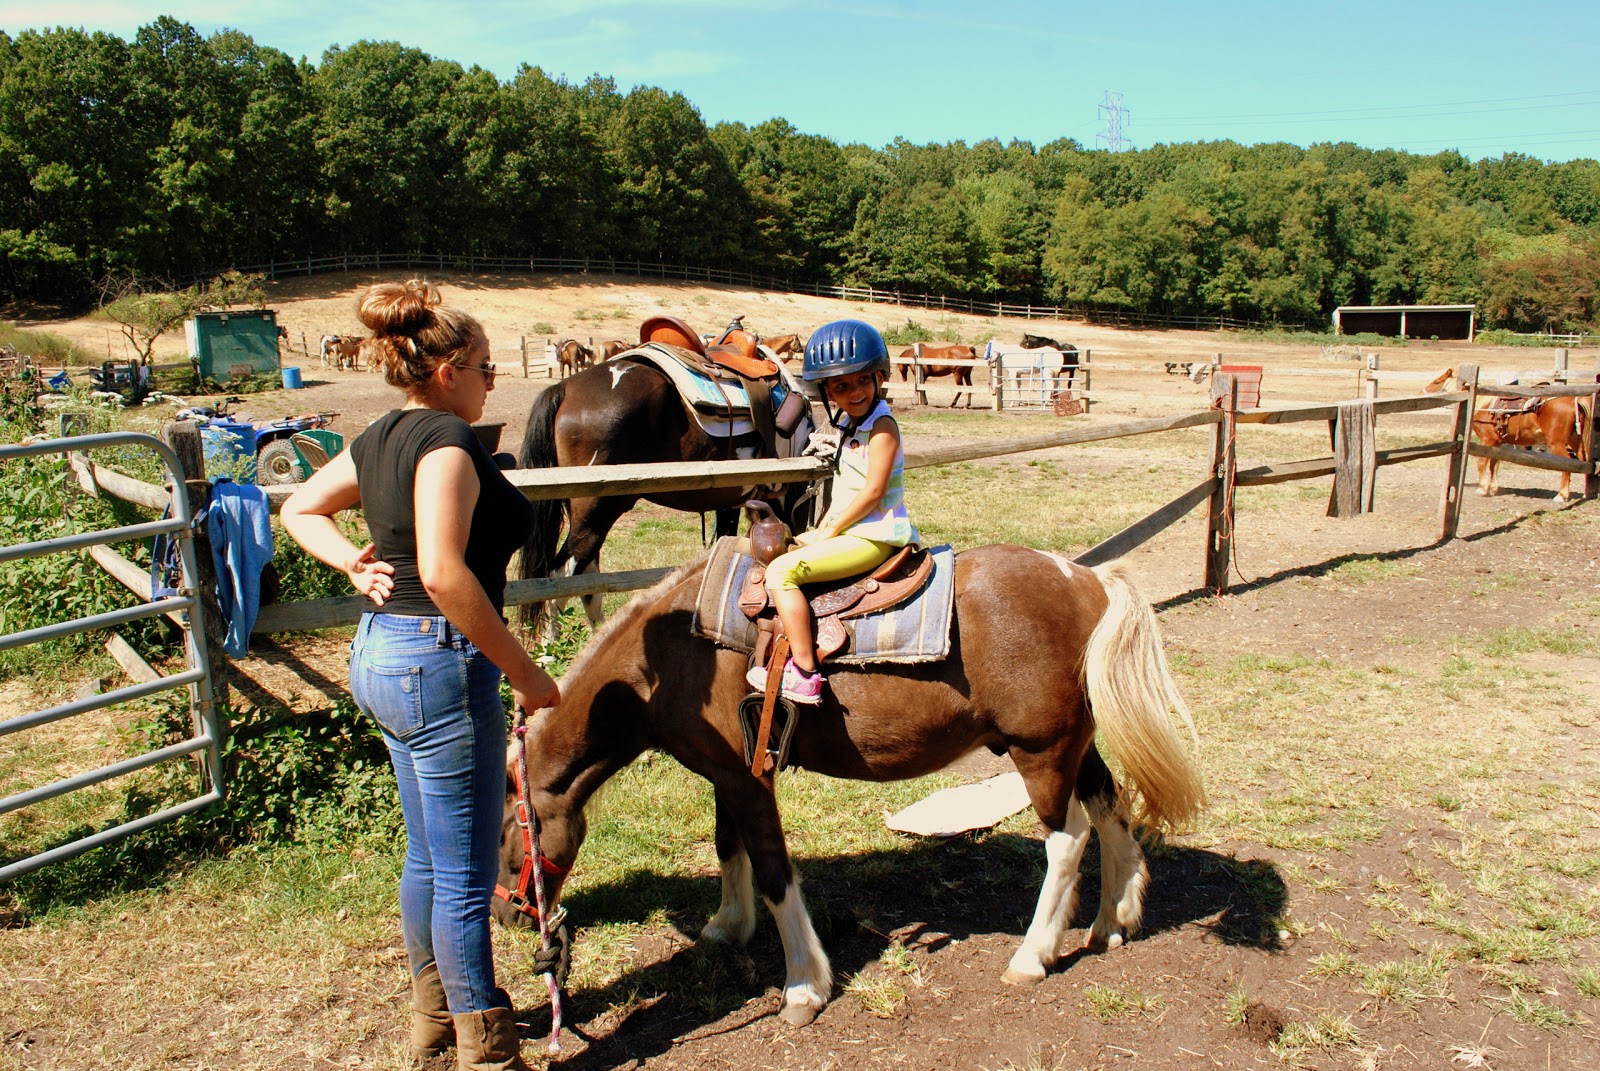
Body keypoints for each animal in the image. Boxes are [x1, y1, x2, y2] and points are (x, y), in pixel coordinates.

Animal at [492, 547, 1203, 1024]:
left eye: (503, 837)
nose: (507, 914)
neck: (670, 661)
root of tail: (1087, 580)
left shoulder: (751, 781)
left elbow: (776, 873)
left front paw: (805, 986)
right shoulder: (726, 775)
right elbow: (728, 847)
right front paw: (727, 924)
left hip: (1041, 755)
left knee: (1067, 840)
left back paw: (1032, 956)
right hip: (1072, 747)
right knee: (1110, 808)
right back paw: (1114, 920)